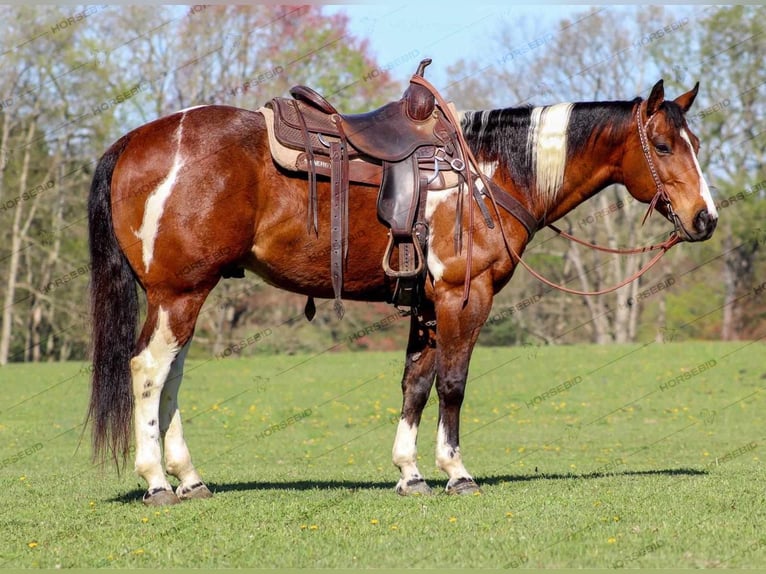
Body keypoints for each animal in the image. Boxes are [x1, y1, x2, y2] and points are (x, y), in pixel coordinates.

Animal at [88, 79, 720, 506]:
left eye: (692, 140)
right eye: (664, 146)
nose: (706, 218)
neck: (487, 175)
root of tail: (133, 141)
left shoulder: (426, 304)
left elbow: (415, 384)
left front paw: (410, 473)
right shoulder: (465, 296)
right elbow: (453, 385)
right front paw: (456, 472)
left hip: (186, 294)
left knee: (170, 378)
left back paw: (189, 478)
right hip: (178, 293)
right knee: (148, 370)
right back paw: (156, 481)